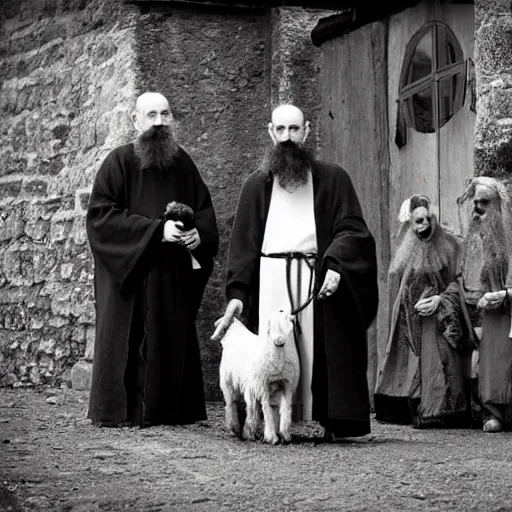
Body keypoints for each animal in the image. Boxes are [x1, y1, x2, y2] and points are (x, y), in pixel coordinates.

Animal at [219, 312, 300, 444]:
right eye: (269, 328)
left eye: (290, 326)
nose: (279, 341)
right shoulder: (262, 385)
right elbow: (265, 408)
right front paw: (271, 437)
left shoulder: (287, 385)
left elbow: (284, 408)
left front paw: (284, 434)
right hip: (229, 381)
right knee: (232, 403)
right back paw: (235, 428)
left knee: (251, 406)